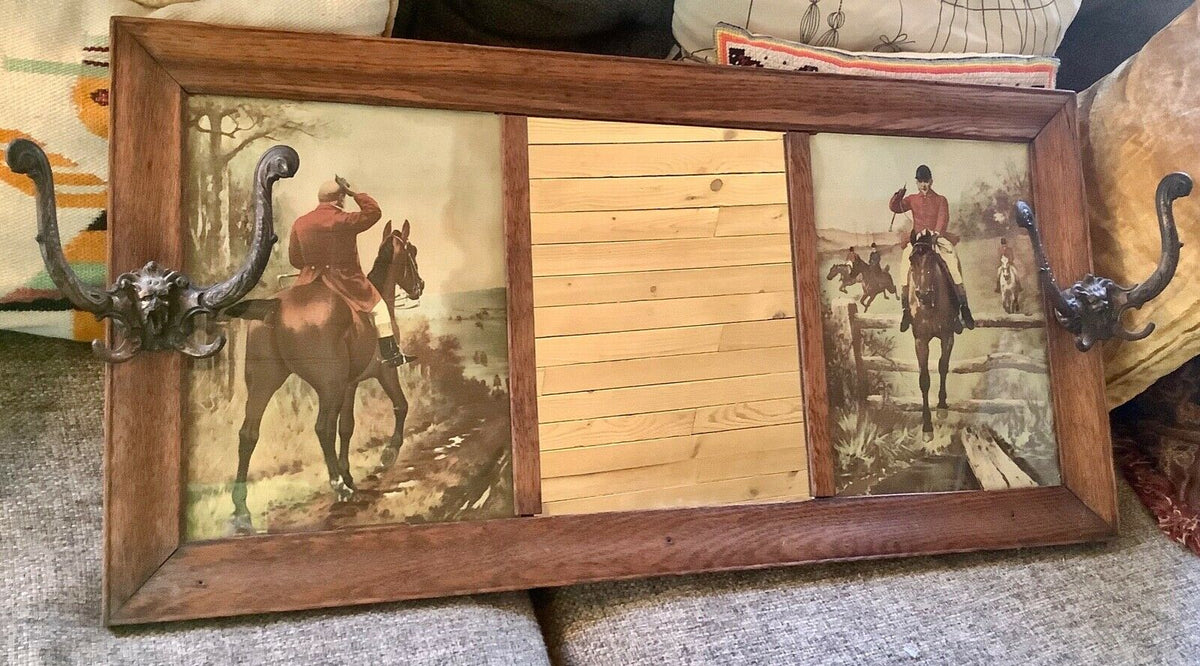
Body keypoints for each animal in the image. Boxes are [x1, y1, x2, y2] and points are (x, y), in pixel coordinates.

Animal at [226, 222, 424, 535]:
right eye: (411, 251)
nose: (420, 287)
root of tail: (275, 306)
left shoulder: (350, 384)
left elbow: (347, 427)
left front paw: (349, 473)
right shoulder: (384, 372)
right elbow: (400, 406)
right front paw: (386, 455)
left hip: (264, 384)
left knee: (248, 434)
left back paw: (241, 511)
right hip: (328, 388)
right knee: (321, 428)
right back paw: (338, 487)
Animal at [902, 231, 960, 434]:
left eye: (933, 259)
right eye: (911, 260)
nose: (924, 295)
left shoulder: (947, 337)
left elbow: (943, 366)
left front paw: (942, 407)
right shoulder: (920, 341)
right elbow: (924, 379)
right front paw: (927, 425)